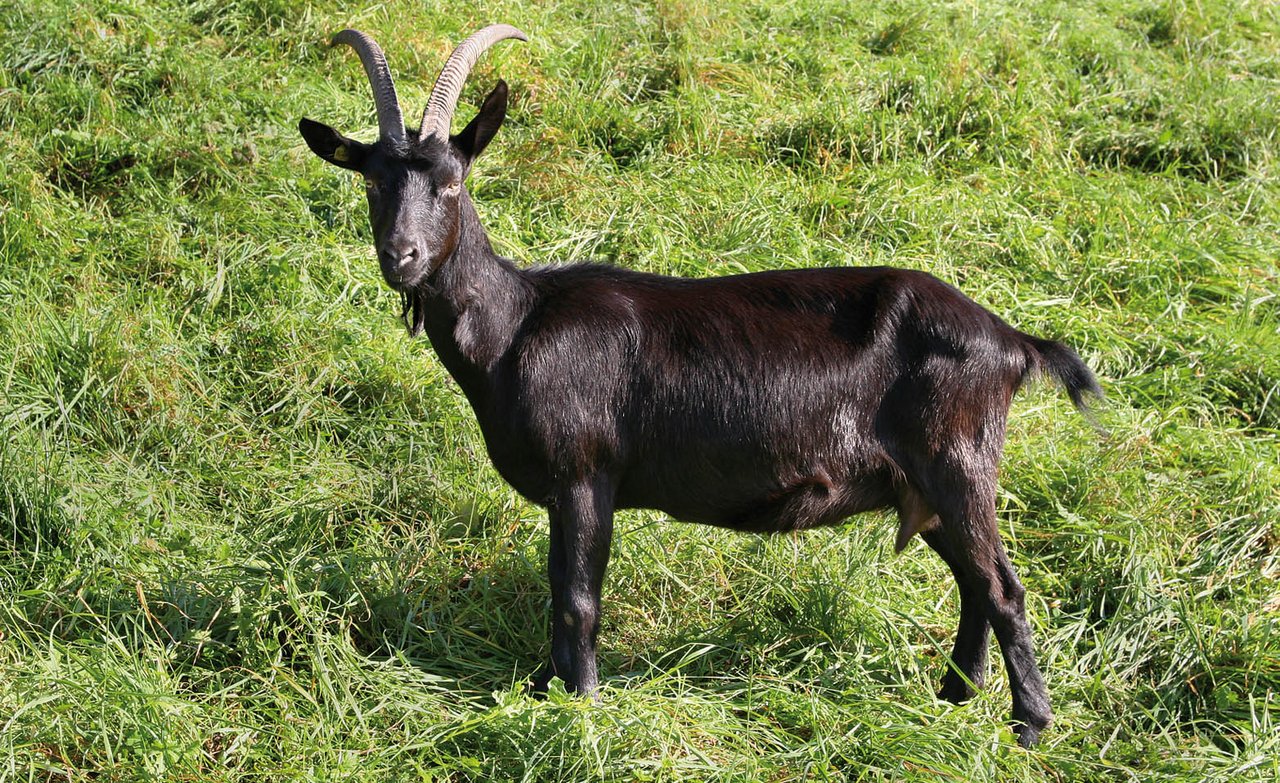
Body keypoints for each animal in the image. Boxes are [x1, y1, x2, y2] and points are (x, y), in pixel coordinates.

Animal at [299, 22, 1100, 747]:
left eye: (452, 181)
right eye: (372, 180)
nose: (401, 257)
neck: (516, 323)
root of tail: (1011, 341)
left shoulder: (586, 473)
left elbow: (577, 596)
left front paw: (580, 708)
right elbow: (559, 591)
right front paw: (543, 690)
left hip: (956, 460)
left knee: (1001, 586)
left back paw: (1028, 725)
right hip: (922, 482)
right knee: (973, 583)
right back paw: (953, 698)